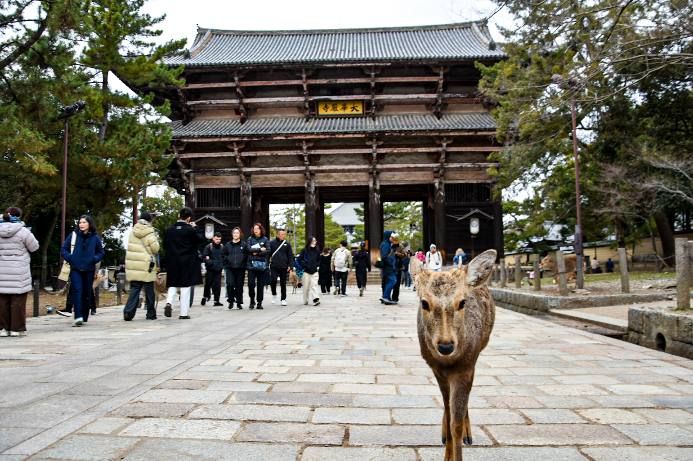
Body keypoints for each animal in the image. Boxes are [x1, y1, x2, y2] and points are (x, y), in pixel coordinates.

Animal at [416, 249, 497, 461]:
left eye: (462, 302)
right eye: (424, 303)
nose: (445, 345)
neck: (449, 362)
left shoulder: (467, 365)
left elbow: (457, 424)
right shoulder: (436, 368)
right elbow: (450, 413)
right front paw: (447, 453)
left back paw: (468, 435)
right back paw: (444, 434)